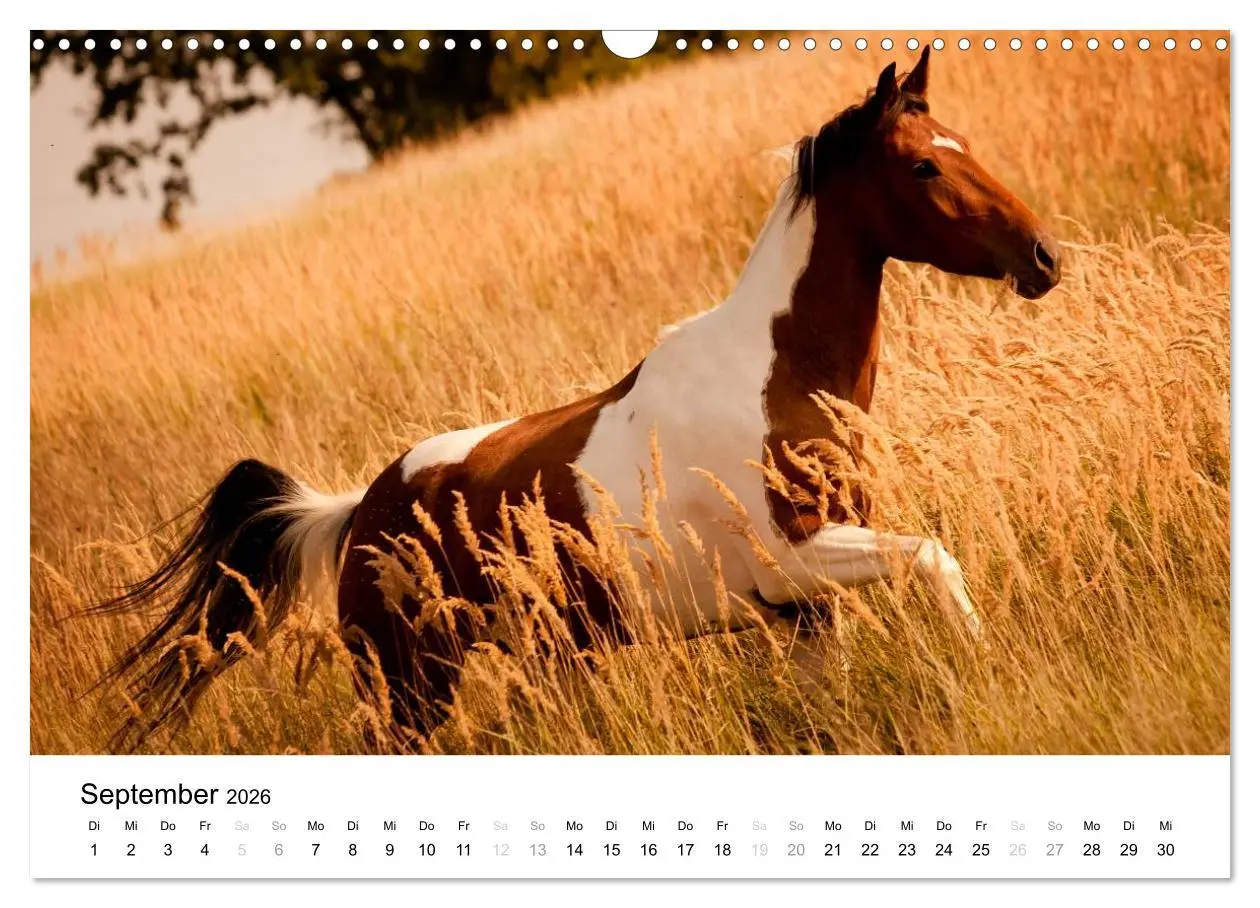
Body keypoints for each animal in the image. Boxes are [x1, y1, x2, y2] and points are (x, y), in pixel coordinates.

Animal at [95, 47, 1061, 751]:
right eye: (924, 167)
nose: (1044, 256)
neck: (776, 376)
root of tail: (353, 513)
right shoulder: (794, 565)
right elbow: (934, 556)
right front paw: (987, 658)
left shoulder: (805, 610)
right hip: (407, 688)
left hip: (537, 657)